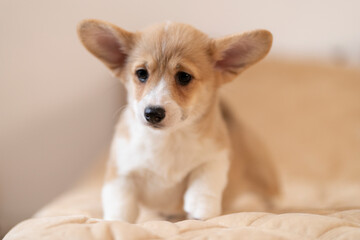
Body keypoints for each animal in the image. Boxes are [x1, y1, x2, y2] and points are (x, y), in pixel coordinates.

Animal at [77, 19, 278, 223]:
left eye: (184, 76)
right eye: (141, 73)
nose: (152, 113)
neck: (168, 138)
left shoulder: (216, 157)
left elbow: (204, 181)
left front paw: (199, 211)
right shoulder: (121, 174)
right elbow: (121, 207)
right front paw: (117, 221)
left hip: (263, 175)